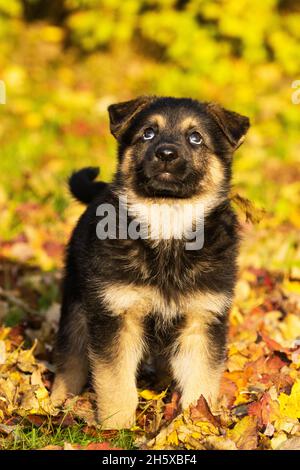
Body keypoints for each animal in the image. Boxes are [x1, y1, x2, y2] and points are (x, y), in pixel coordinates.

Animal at [51, 95, 248, 430]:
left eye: (195, 138)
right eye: (148, 133)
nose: (166, 154)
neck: (167, 222)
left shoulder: (202, 318)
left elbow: (200, 384)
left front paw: (196, 426)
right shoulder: (116, 314)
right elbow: (115, 381)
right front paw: (116, 429)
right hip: (77, 305)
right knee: (70, 358)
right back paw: (52, 404)